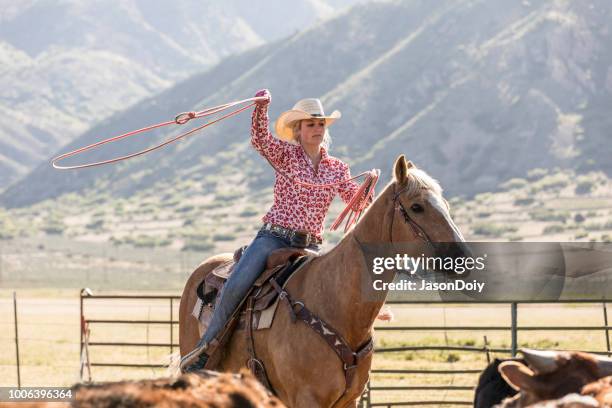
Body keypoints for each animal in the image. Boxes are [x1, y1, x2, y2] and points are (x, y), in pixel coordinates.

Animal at [179, 155, 466, 406]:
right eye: (417, 206)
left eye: (446, 205)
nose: (461, 256)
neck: (336, 302)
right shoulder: (307, 399)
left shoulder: (348, 401)